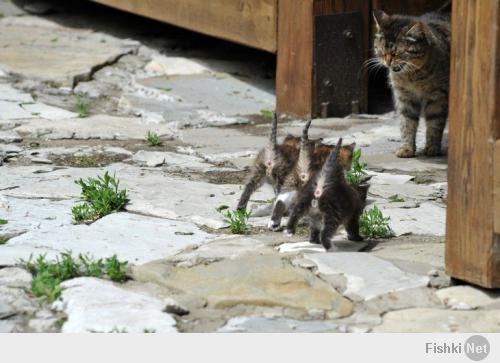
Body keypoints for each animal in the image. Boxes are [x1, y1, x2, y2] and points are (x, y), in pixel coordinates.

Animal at [374, 1, 452, 158]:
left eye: (396, 53)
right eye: (382, 51)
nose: (388, 62)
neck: (412, 78)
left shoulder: (438, 98)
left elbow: (435, 123)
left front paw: (432, 147)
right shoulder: (405, 98)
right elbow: (406, 124)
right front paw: (406, 148)